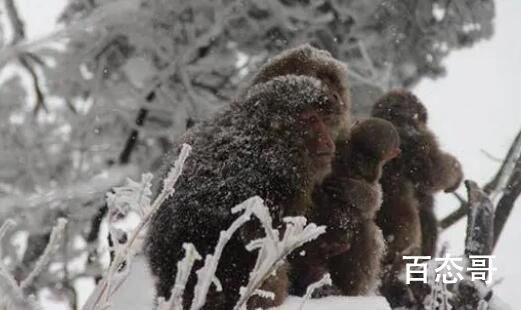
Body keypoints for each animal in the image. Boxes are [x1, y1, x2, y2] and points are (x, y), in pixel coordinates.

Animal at [288, 117, 398, 296]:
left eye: (375, 161)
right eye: (361, 156)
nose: (366, 169)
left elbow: (373, 199)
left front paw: (354, 191)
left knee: (365, 230)